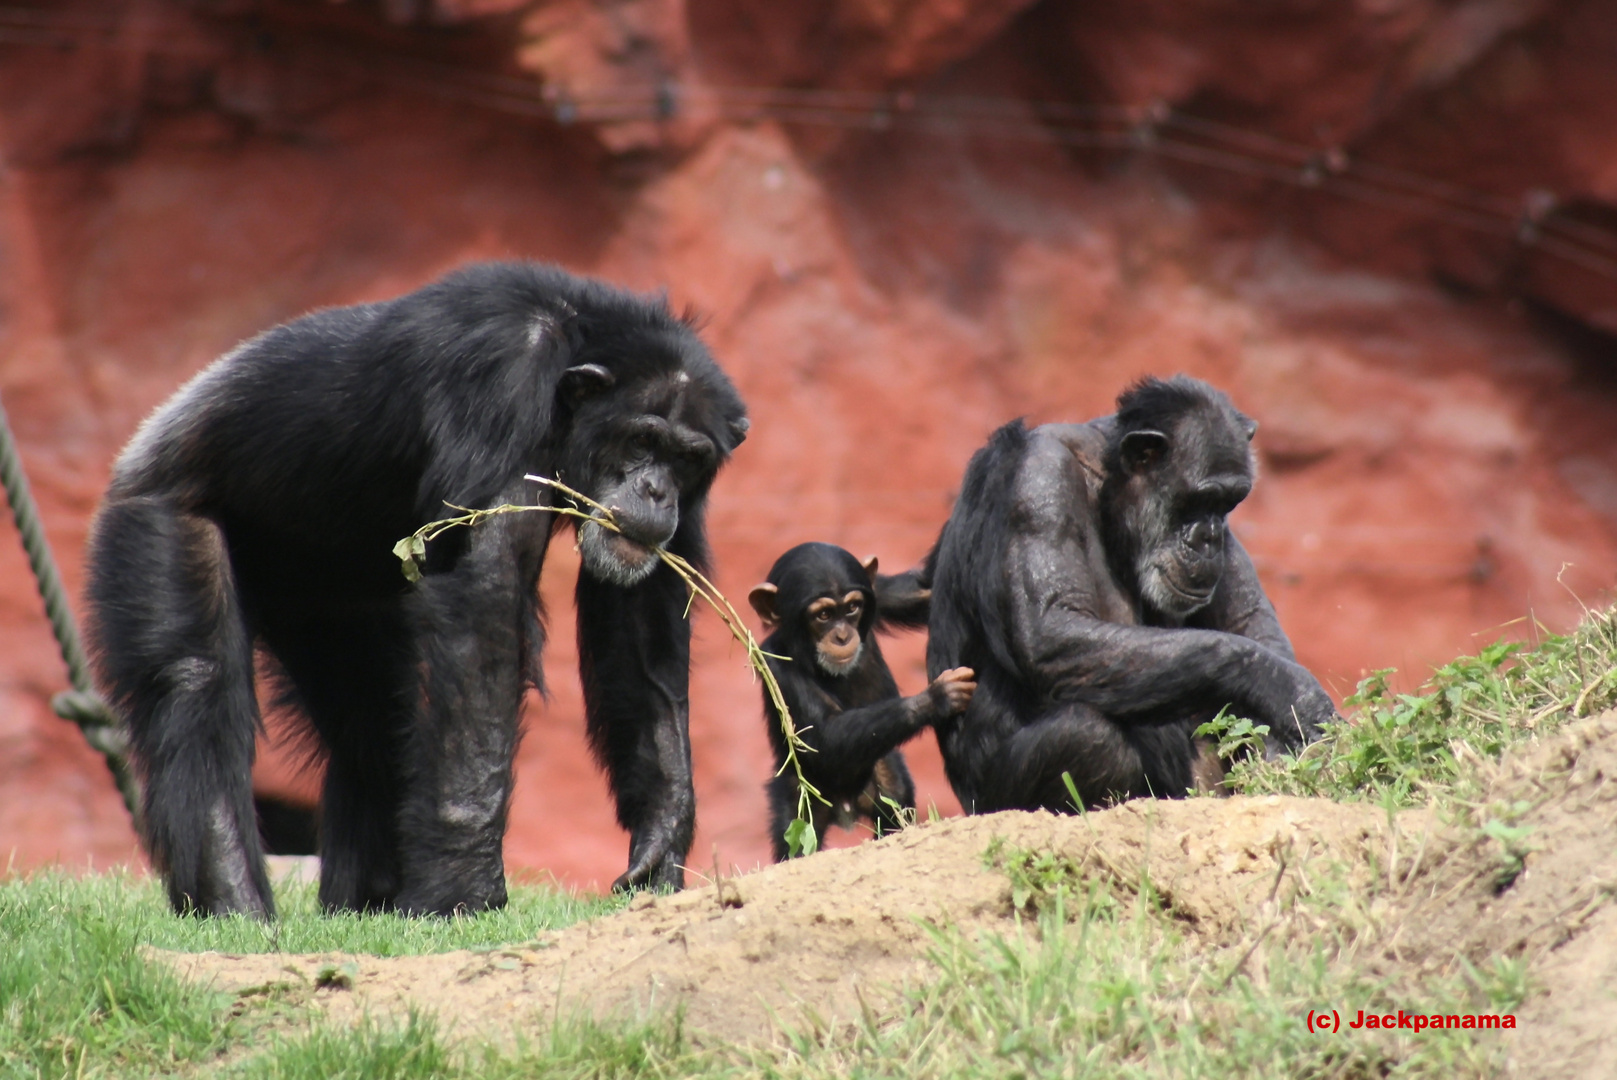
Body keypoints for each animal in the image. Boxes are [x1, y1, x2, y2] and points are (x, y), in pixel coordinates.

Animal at [85, 265, 747, 918]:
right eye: (641, 441)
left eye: (687, 458)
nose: (657, 490)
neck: (574, 343)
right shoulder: (499, 381)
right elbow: (485, 599)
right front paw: (463, 888)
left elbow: (640, 620)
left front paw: (661, 832)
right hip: (159, 505)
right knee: (196, 684)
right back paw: (233, 903)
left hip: (327, 601)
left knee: (373, 719)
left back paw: (364, 902)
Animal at [743, 549, 970, 860]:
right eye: (823, 615)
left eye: (852, 607)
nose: (842, 636)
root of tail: (846, 811)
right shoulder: (775, 665)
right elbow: (823, 737)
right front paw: (936, 698)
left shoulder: (881, 594)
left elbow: (926, 590)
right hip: (802, 799)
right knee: (795, 838)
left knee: (893, 795)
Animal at [918, 375, 1332, 814]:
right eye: (1198, 499)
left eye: (1227, 502)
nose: (1209, 537)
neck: (1109, 486)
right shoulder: (1040, 478)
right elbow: (1051, 627)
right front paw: (1289, 691)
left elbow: (1248, 623)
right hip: (990, 801)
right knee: (1085, 733)